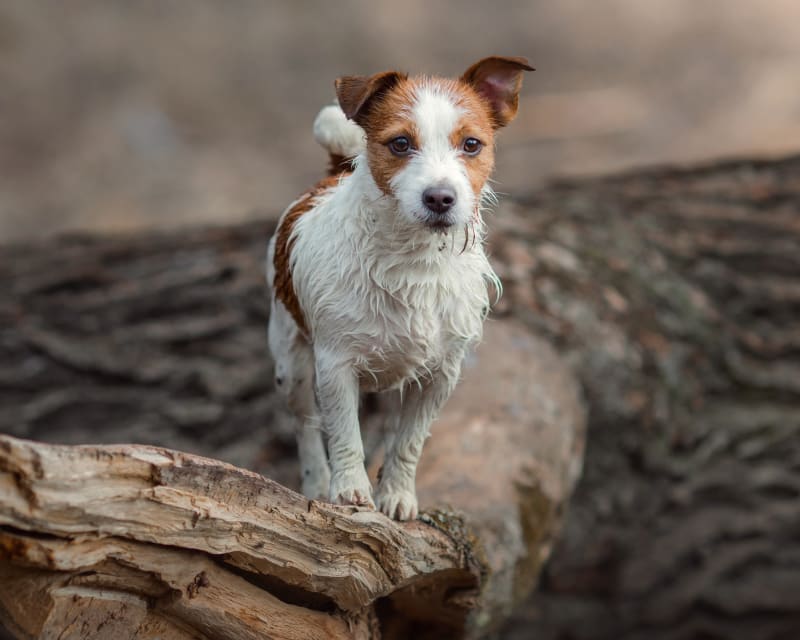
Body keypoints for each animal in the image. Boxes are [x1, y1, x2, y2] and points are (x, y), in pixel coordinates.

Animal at [266, 56, 536, 520]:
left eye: (471, 145)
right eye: (399, 144)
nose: (440, 198)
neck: (414, 262)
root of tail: (332, 174)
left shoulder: (440, 375)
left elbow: (409, 442)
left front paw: (396, 495)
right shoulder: (336, 366)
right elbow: (344, 434)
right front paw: (350, 490)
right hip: (292, 365)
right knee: (306, 426)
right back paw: (317, 482)